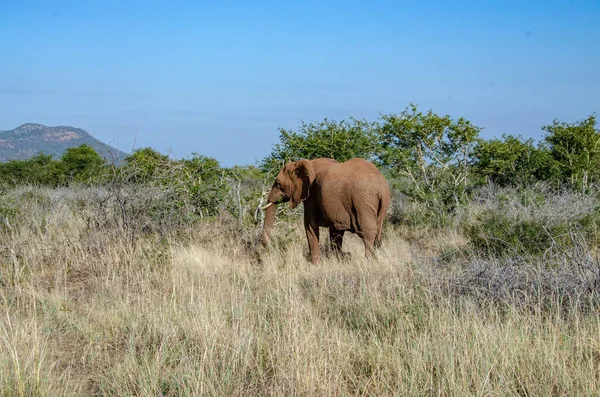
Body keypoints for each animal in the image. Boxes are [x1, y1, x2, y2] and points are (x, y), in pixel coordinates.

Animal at [260, 157, 392, 262]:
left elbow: (309, 224)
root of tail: (380, 186)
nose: (263, 251)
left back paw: (369, 261)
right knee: (377, 233)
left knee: (368, 232)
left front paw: (315, 264)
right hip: (382, 203)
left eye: (278, 184)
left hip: (362, 200)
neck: (303, 163)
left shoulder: (311, 193)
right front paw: (338, 259)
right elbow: (336, 230)